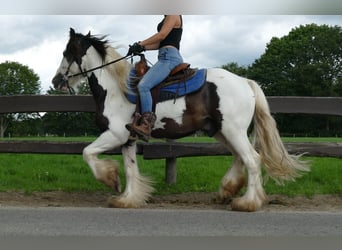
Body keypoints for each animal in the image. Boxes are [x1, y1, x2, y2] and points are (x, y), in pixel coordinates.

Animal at [51, 27, 310, 211]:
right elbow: (131, 168)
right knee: (239, 157)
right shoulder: (128, 139)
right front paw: (127, 198)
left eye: (67, 52)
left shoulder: (115, 134)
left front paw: (110, 180)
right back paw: (226, 191)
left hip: (233, 130)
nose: (56, 81)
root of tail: (246, 82)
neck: (116, 89)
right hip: (221, 131)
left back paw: (247, 203)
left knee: (252, 159)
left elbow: (87, 152)